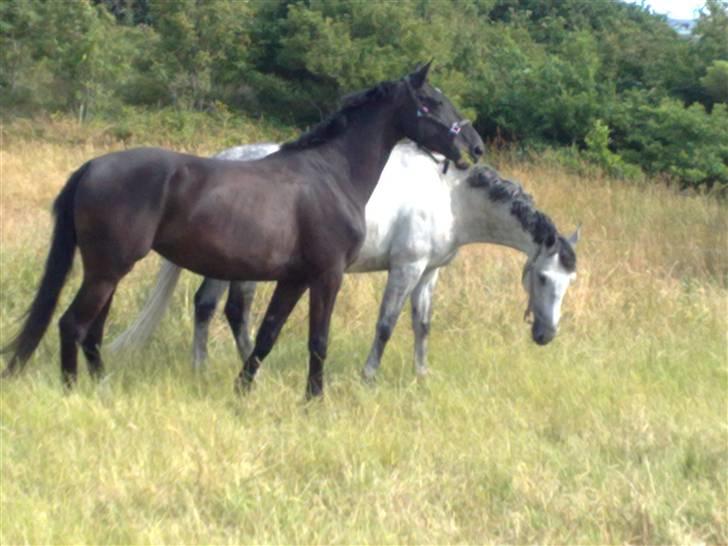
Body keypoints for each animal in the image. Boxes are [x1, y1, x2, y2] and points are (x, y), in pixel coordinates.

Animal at [5, 63, 486, 396]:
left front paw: (244, 390)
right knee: (72, 324)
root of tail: (92, 167)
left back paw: (101, 387)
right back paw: (73, 390)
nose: (475, 146)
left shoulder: (294, 278)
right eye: (433, 101)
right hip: (107, 270)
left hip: (106, 271)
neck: (331, 174)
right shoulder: (326, 276)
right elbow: (318, 340)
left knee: (92, 331)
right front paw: (314, 399)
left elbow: (268, 334)